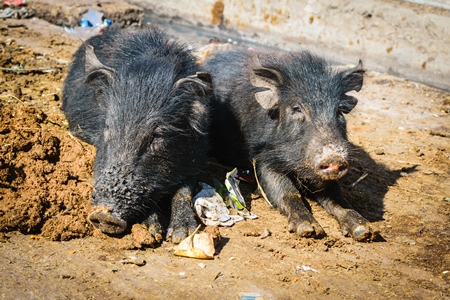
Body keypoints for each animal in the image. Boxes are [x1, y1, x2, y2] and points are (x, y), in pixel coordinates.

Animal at [61, 24, 213, 243]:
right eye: (107, 127)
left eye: (157, 136)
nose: (103, 215)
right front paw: (153, 233)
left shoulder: (197, 156)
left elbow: (184, 189)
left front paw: (181, 236)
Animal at [205, 49, 380, 241]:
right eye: (296, 108)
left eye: (339, 111)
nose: (334, 158)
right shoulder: (262, 160)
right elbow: (288, 191)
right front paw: (309, 230)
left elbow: (336, 197)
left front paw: (365, 231)